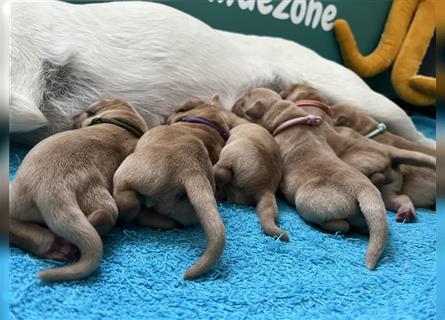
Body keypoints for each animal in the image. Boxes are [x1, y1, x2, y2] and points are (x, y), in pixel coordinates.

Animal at [112, 99, 232, 278]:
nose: (163, 117)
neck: (205, 124)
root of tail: (191, 171)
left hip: (126, 173)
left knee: (129, 202)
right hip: (186, 212)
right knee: (169, 221)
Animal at [232, 86, 388, 268]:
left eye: (242, 102)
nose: (233, 104)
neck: (287, 116)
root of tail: (364, 190)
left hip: (306, 202)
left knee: (342, 225)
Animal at [282, 85, 436, 222]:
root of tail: (390, 153)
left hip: (359, 165)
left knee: (374, 177)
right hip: (390, 189)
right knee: (399, 198)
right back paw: (406, 212)